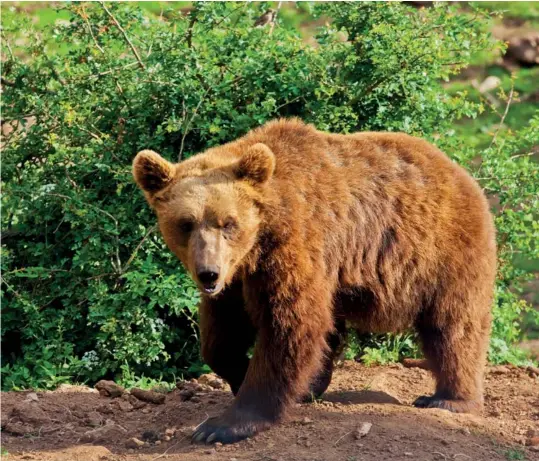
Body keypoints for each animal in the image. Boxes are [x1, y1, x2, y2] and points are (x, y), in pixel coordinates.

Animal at [134, 117, 498, 442]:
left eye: (228, 222)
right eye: (186, 223)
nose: (208, 273)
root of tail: (461, 172)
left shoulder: (297, 245)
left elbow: (291, 323)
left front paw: (223, 425)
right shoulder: (238, 278)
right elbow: (221, 334)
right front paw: (238, 373)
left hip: (442, 252)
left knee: (453, 327)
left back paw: (448, 398)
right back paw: (315, 385)